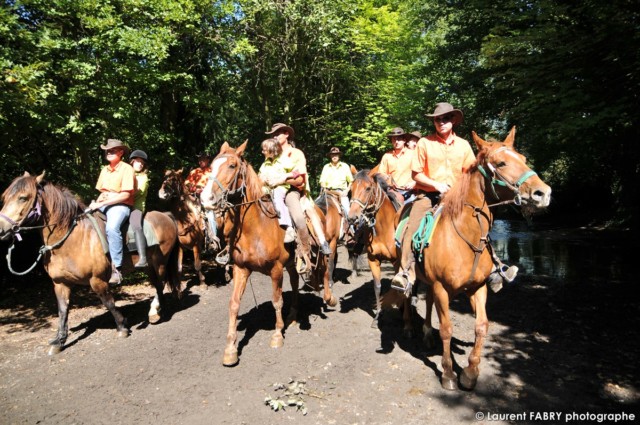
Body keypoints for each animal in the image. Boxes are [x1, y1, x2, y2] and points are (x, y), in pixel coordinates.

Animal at [0, 171, 181, 352]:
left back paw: (156, 312)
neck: (71, 239)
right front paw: (59, 341)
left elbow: (108, 302)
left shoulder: (97, 280)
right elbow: (62, 310)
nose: (1, 229)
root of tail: (165, 215)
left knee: (160, 284)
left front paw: (122, 327)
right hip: (148, 265)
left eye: (23, 197)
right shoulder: (60, 283)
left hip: (160, 262)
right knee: (157, 283)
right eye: (5, 197)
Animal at [201, 141, 338, 366]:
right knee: (295, 283)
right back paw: (292, 316)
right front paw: (230, 349)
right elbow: (233, 304)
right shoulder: (241, 269)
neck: (256, 227)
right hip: (292, 263)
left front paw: (276, 335)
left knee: (325, 270)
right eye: (211, 166)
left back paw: (329, 298)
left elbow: (276, 300)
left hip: (322, 248)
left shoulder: (275, 269)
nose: (205, 198)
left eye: (232, 165)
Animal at [416, 127, 552, 390]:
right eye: (501, 163)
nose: (543, 193)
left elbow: (481, 326)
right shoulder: (441, 288)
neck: (465, 238)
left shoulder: (478, 287)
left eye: (524, 158)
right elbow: (446, 329)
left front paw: (470, 372)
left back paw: (426, 333)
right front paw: (448, 373)